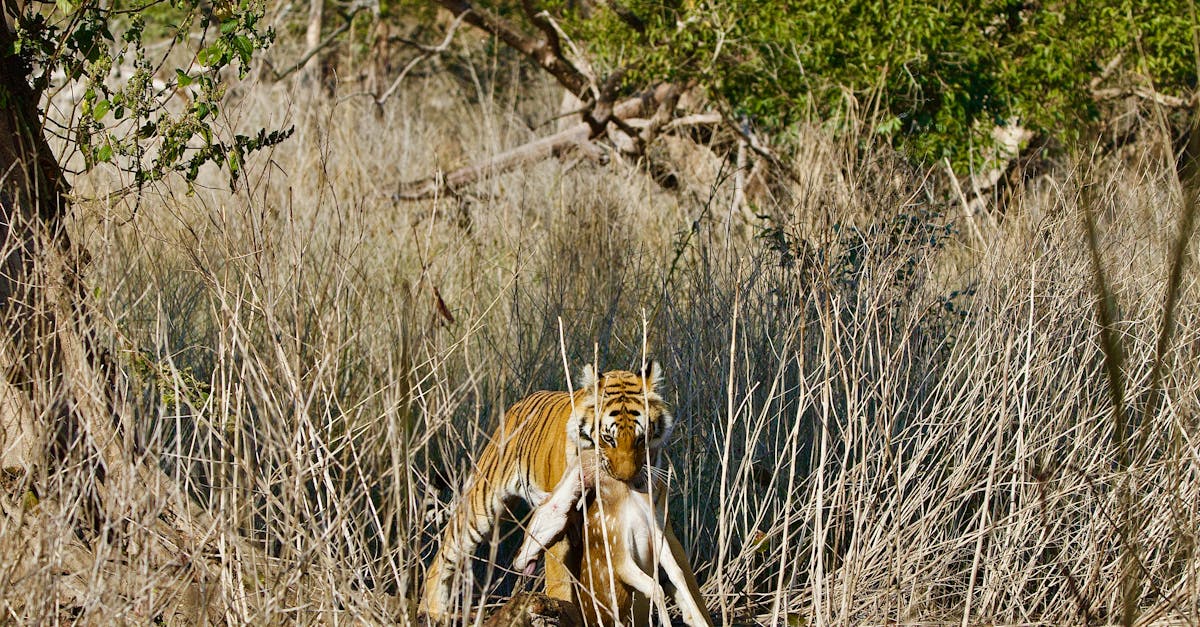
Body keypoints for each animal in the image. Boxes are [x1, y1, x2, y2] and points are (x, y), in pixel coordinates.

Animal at [420, 362, 690, 621]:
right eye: (608, 438)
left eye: (641, 438)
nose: (626, 479)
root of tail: (517, 405)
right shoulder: (564, 531)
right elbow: (561, 582)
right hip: (481, 506)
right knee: (443, 557)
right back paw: (434, 612)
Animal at [514, 448, 713, 627]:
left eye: (533, 523)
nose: (517, 561)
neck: (623, 495)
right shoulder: (618, 553)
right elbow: (657, 586)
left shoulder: (653, 536)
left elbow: (676, 574)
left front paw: (700, 621)